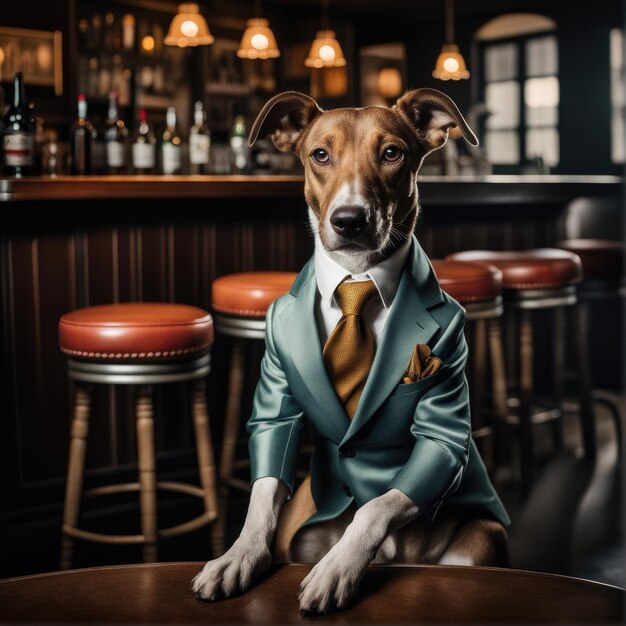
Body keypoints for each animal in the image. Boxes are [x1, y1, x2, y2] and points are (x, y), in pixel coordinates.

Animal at [190, 90, 508, 612]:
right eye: (320, 155)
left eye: (392, 153)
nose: (349, 220)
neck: (357, 279)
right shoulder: (275, 393)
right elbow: (264, 488)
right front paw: (238, 554)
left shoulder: (443, 411)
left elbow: (379, 503)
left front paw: (339, 566)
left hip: (483, 536)